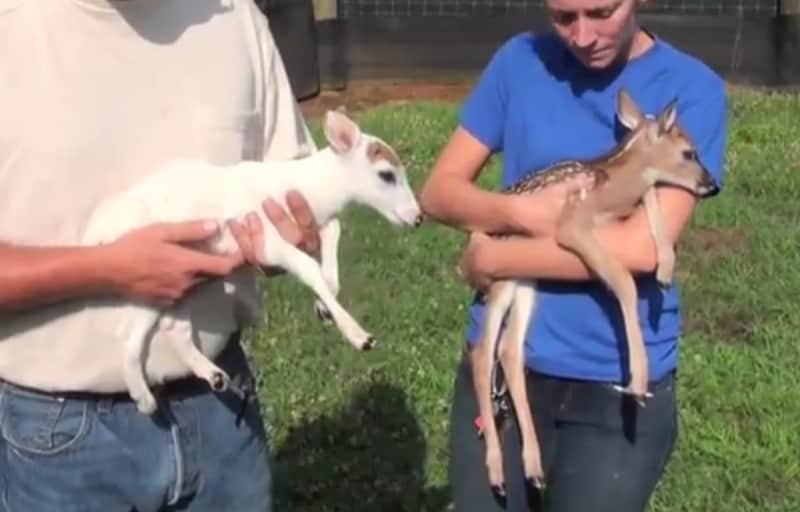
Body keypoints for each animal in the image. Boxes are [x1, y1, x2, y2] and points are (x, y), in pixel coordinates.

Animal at [80, 109, 422, 415]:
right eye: (386, 174)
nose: (417, 218)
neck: (311, 188)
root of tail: (97, 233)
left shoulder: (314, 224)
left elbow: (332, 242)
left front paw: (325, 307)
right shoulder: (267, 241)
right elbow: (309, 267)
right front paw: (359, 336)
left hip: (175, 283)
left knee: (167, 329)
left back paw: (201, 380)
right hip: (147, 270)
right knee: (134, 334)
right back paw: (149, 396)